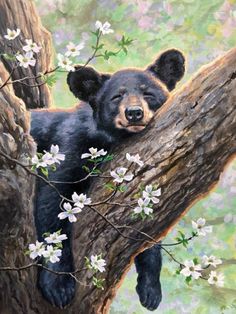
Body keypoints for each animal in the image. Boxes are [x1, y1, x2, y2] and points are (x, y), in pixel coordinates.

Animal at [31, 49, 185, 312]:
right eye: (116, 97)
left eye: (148, 93)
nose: (134, 113)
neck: (111, 139)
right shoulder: (69, 147)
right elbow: (52, 203)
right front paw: (59, 286)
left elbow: (150, 225)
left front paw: (151, 289)